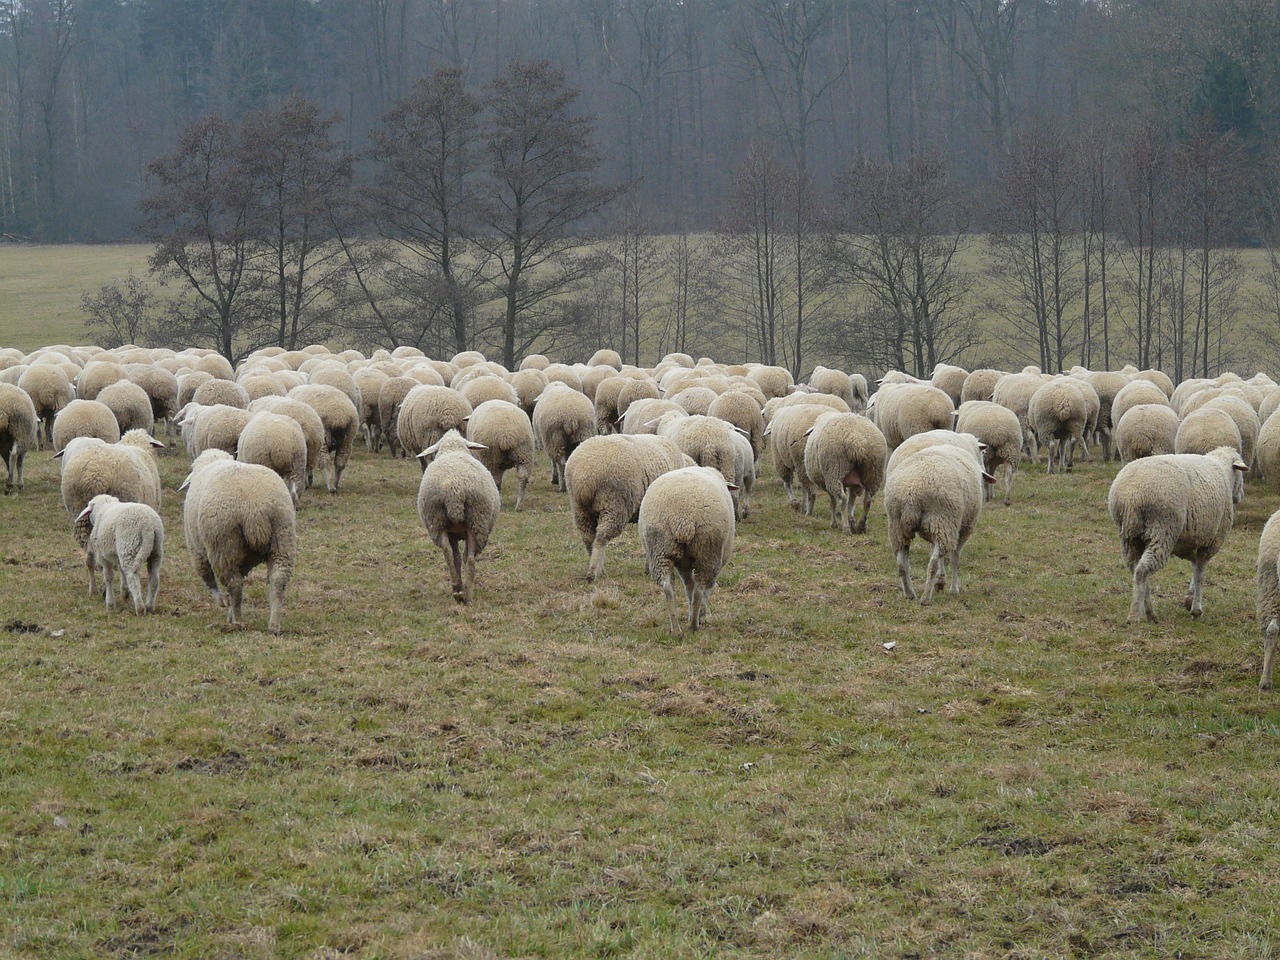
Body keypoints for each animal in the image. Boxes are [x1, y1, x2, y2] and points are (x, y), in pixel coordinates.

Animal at [417, 427, 501, 601]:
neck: (452, 448)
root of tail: (453, 489)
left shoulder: (452, 533)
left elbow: (455, 556)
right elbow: (462, 556)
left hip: (437, 521)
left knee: (448, 553)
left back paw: (457, 589)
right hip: (478, 522)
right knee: (470, 558)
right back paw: (467, 595)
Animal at [568, 435, 691, 583]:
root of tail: (585, 476)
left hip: (580, 509)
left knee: (588, 538)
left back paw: (598, 570)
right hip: (614, 504)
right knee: (601, 537)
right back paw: (593, 573)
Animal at [637, 468, 737, 640]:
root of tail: (683, 517)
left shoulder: (682, 564)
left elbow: (688, 586)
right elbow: (708, 588)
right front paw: (701, 615)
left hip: (660, 550)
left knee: (668, 588)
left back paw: (677, 630)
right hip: (707, 551)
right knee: (699, 590)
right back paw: (694, 625)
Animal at [885, 445, 993, 609]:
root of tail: (912, 490)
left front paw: (941, 582)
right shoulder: (963, 528)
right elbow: (955, 557)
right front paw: (953, 588)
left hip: (898, 526)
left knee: (901, 563)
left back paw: (910, 594)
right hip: (943, 520)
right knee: (932, 564)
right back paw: (925, 598)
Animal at [1105, 445, 1244, 624]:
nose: (1240, 496)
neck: (1223, 470)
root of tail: (1131, 496)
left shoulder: (1193, 540)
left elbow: (1195, 567)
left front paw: (1189, 599)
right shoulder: (1211, 541)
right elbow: (1200, 573)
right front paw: (1196, 609)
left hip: (1129, 538)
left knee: (1136, 570)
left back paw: (1150, 613)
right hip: (1163, 531)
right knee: (1143, 570)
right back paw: (1136, 615)